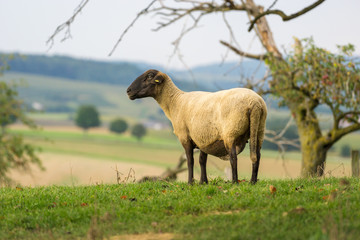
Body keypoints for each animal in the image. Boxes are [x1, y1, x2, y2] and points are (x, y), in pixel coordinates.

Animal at [127, 69, 268, 184]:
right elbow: (202, 160)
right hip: (259, 130)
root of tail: (255, 103)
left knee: (233, 157)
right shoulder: (203, 139)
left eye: (149, 76)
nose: (128, 91)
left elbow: (190, 161)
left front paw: (191, 182)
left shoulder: (185, 137)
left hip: (231, 132)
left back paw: (234, 182)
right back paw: (253, 182)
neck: (175, 102)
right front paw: (203, 182)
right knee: (257, 155)